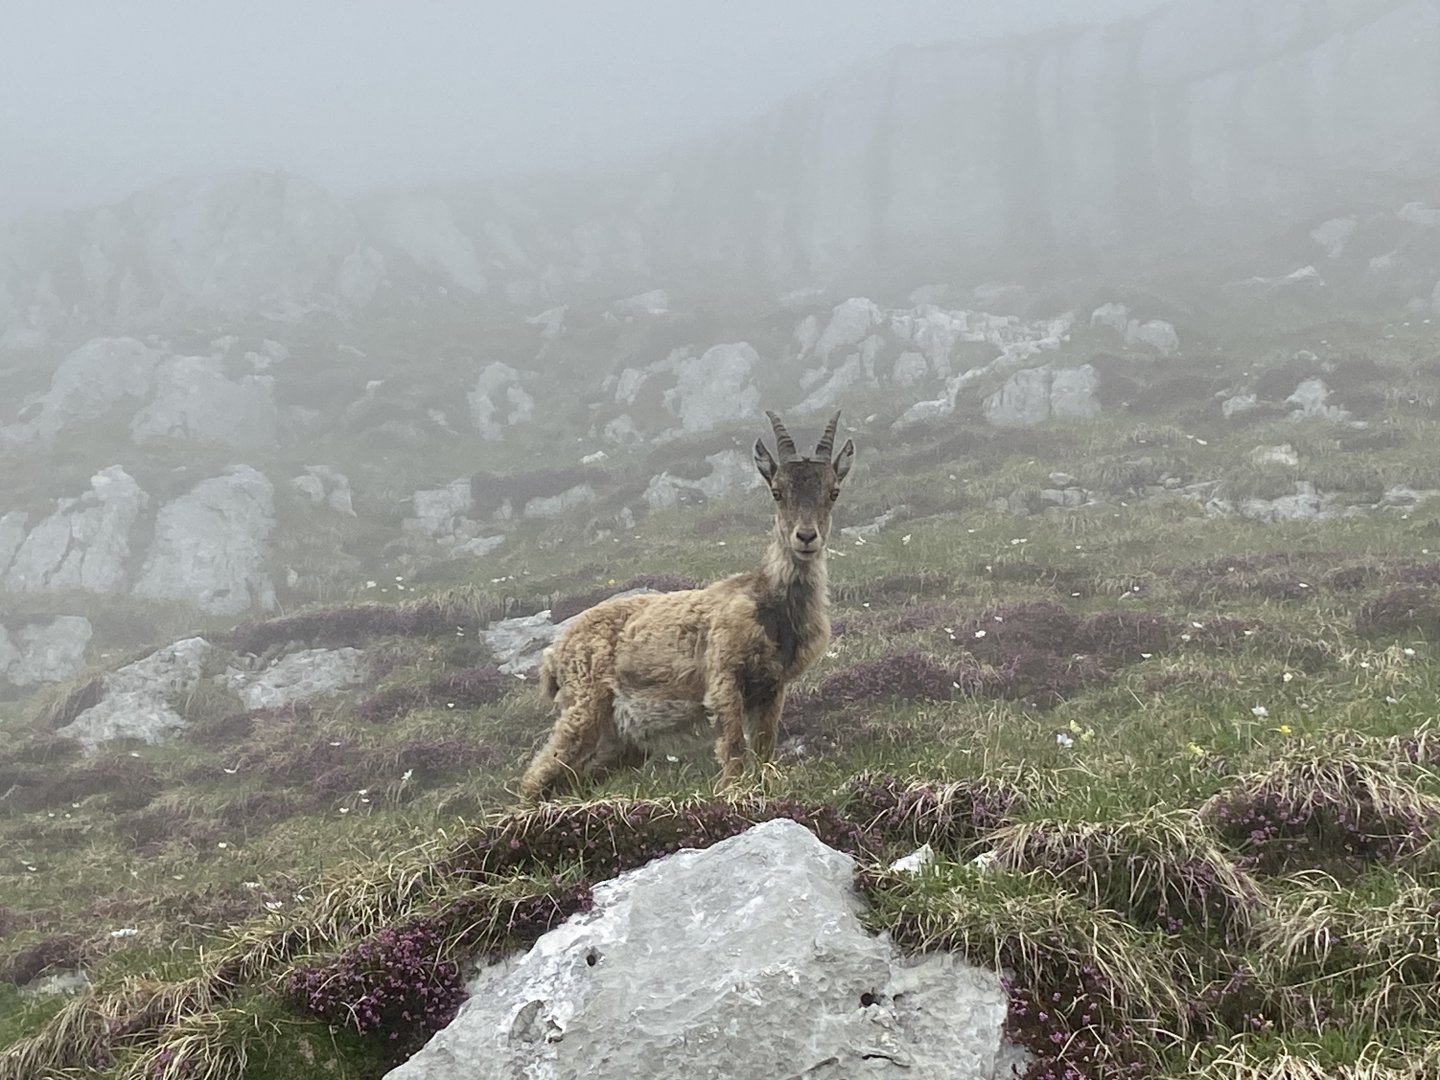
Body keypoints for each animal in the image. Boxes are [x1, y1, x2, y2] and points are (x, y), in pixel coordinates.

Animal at [518, 410, 856, 800]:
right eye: (777, 492)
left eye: (833, 492)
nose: (805, 537)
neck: (769, 603)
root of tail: (553, 654)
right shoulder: (725, 679)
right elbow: (733, 747)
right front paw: (733, 793)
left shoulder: (772, 688)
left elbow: (764, 747)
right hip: (583, 707)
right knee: (537, 776)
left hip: (621, 741)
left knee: (569, 779)